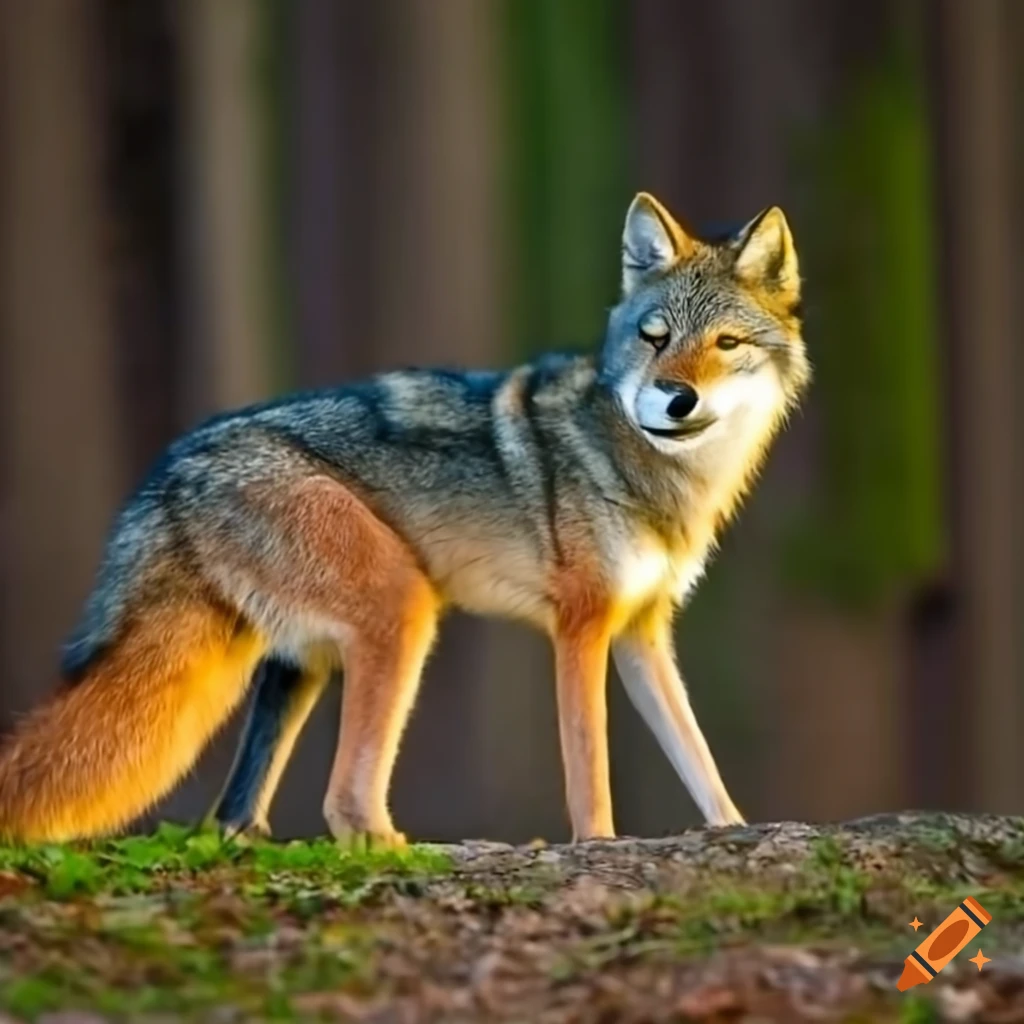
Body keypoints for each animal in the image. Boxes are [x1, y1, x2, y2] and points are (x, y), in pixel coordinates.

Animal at [0, 192, 809, 847]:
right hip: (397, 615)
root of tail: (175, 462)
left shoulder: (642, 631)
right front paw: (598, 846)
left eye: (725, 344)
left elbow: (699, 759)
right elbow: (590, 769)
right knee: (343, 803)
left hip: (294, 664)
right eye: (654, 336)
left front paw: (734, 829)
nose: (676, 398)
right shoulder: (581, 627)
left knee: (232, 817)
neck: (649, 470)